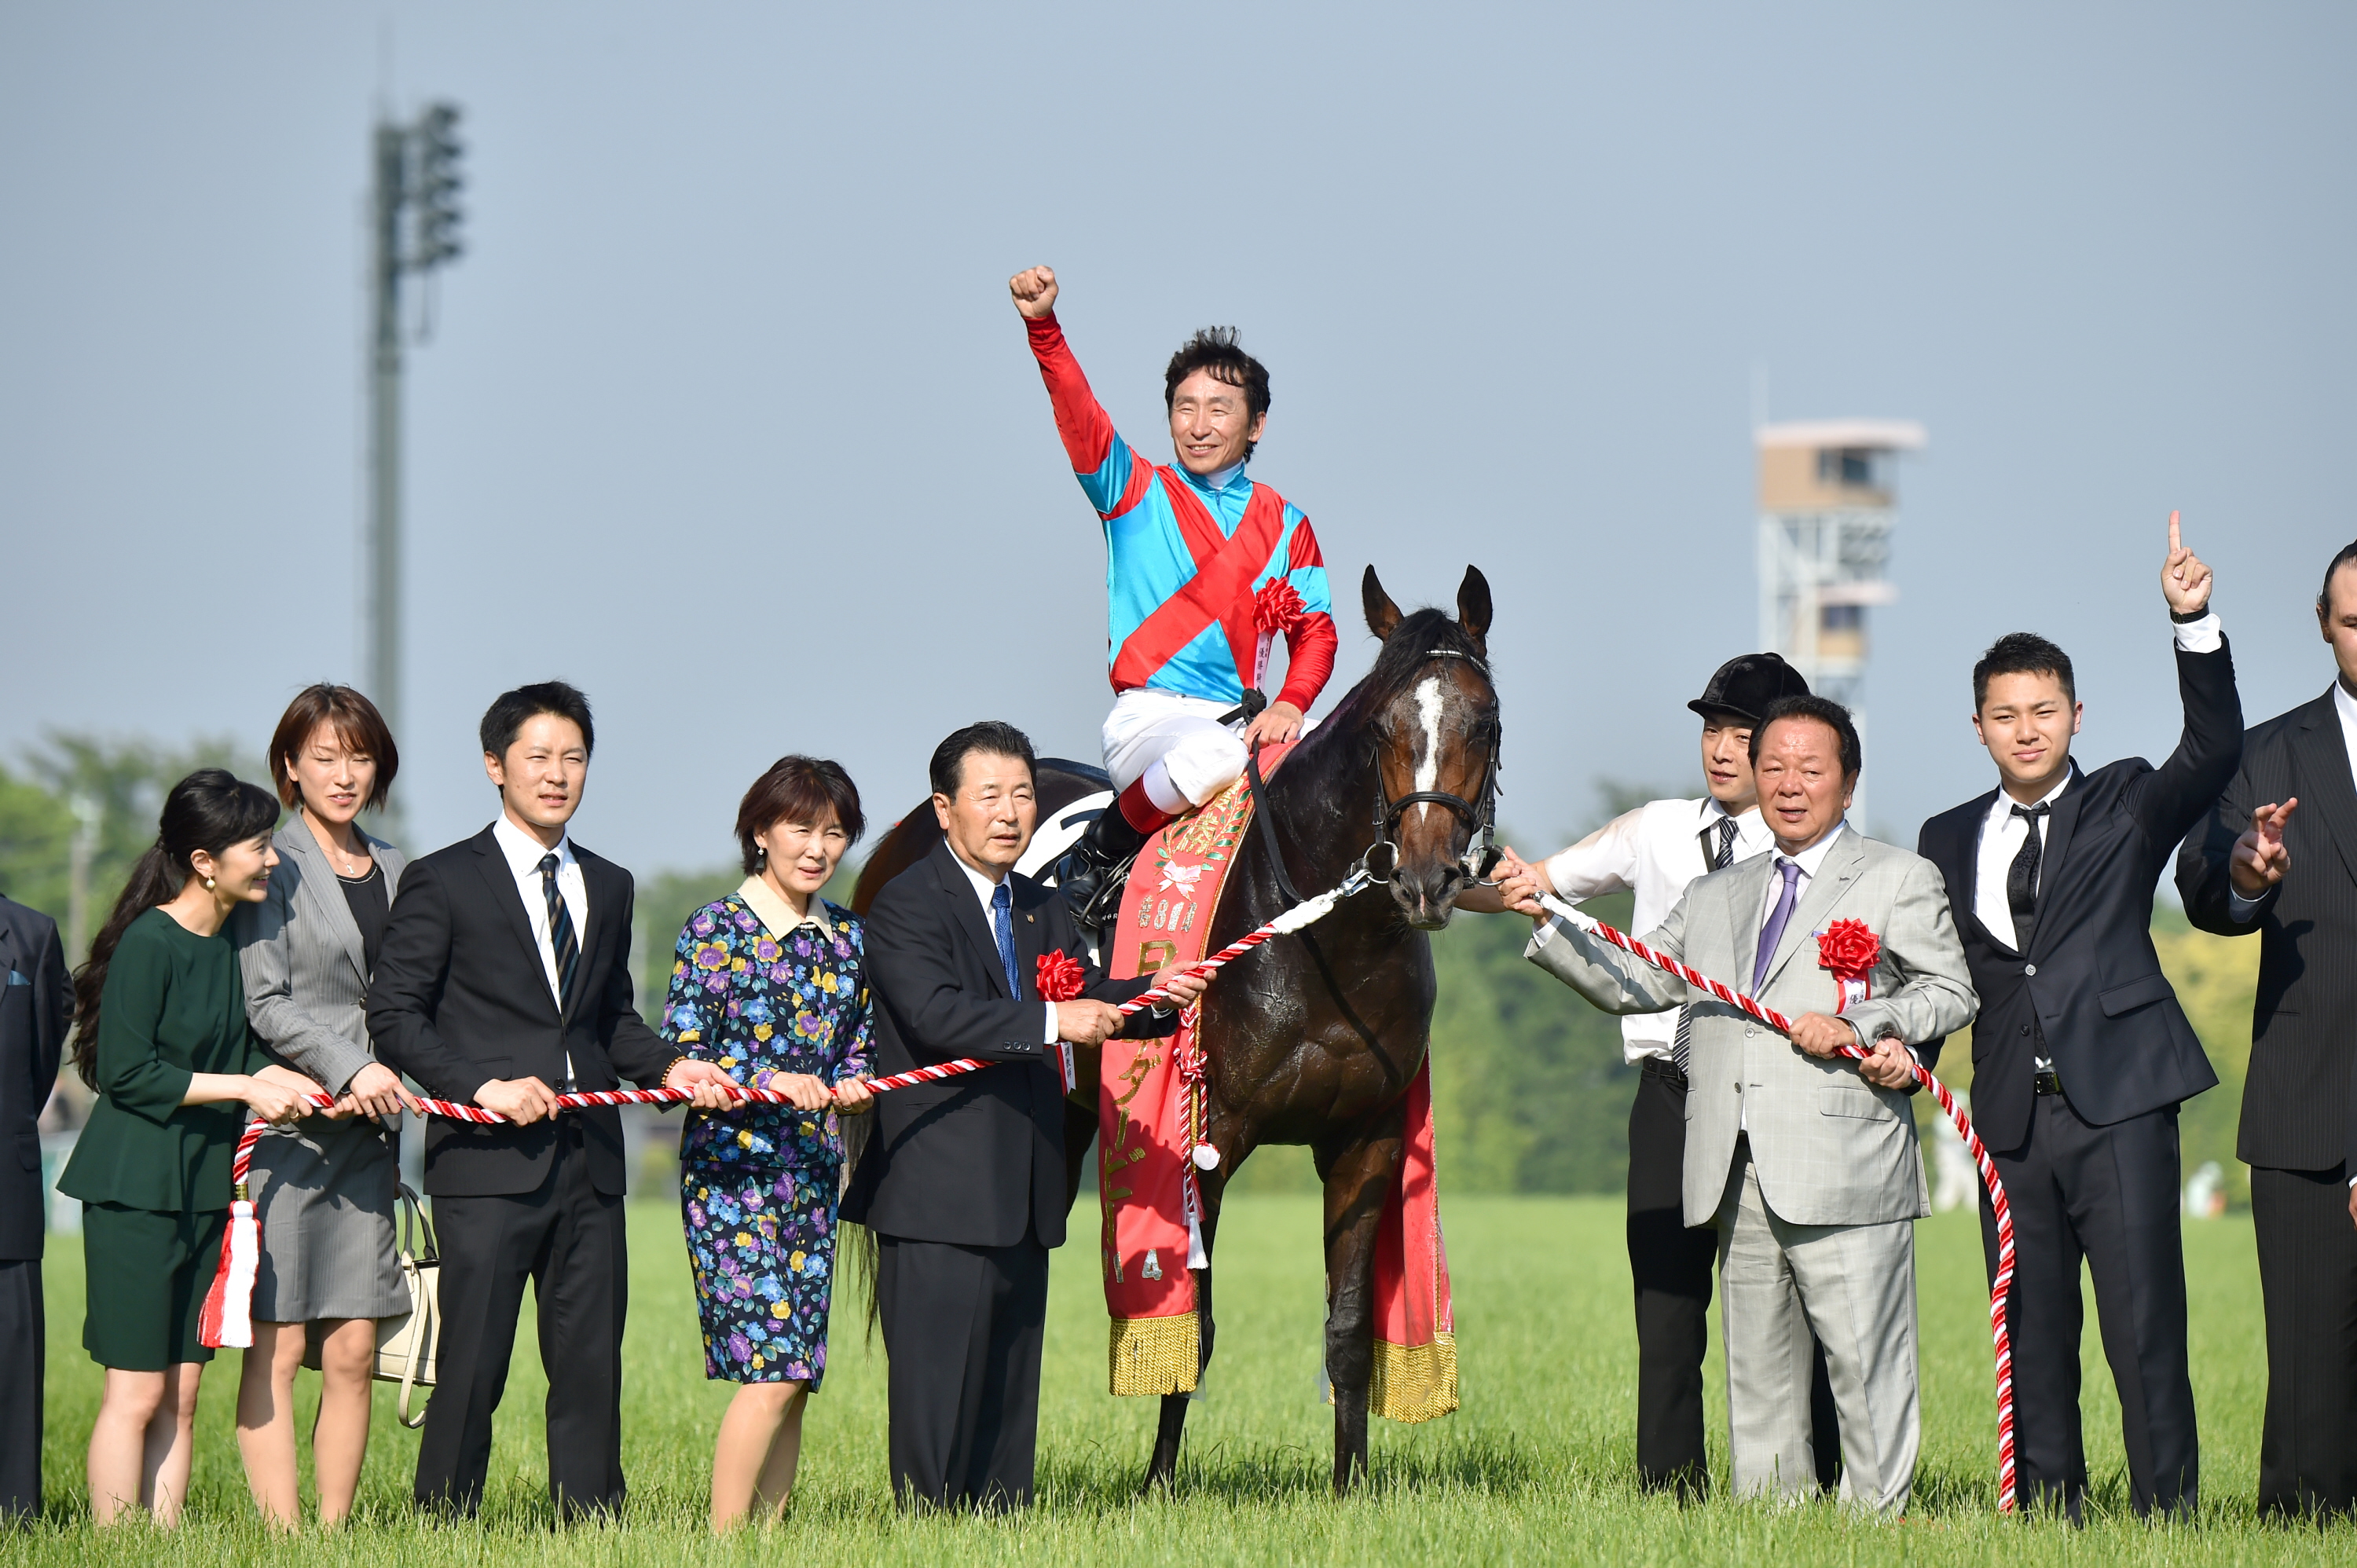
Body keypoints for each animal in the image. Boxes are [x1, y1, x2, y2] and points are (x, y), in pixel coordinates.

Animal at [858, 563, 1499, 1489]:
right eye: (1383, 726)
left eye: (1483, 722)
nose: (1424, 877)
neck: (1318, 933)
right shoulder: (1212, 1136)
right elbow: (1193, 1325)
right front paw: (1160, 1483)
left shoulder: (1368, 1137)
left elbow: (1346, 1330)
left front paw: (1349, 1486)